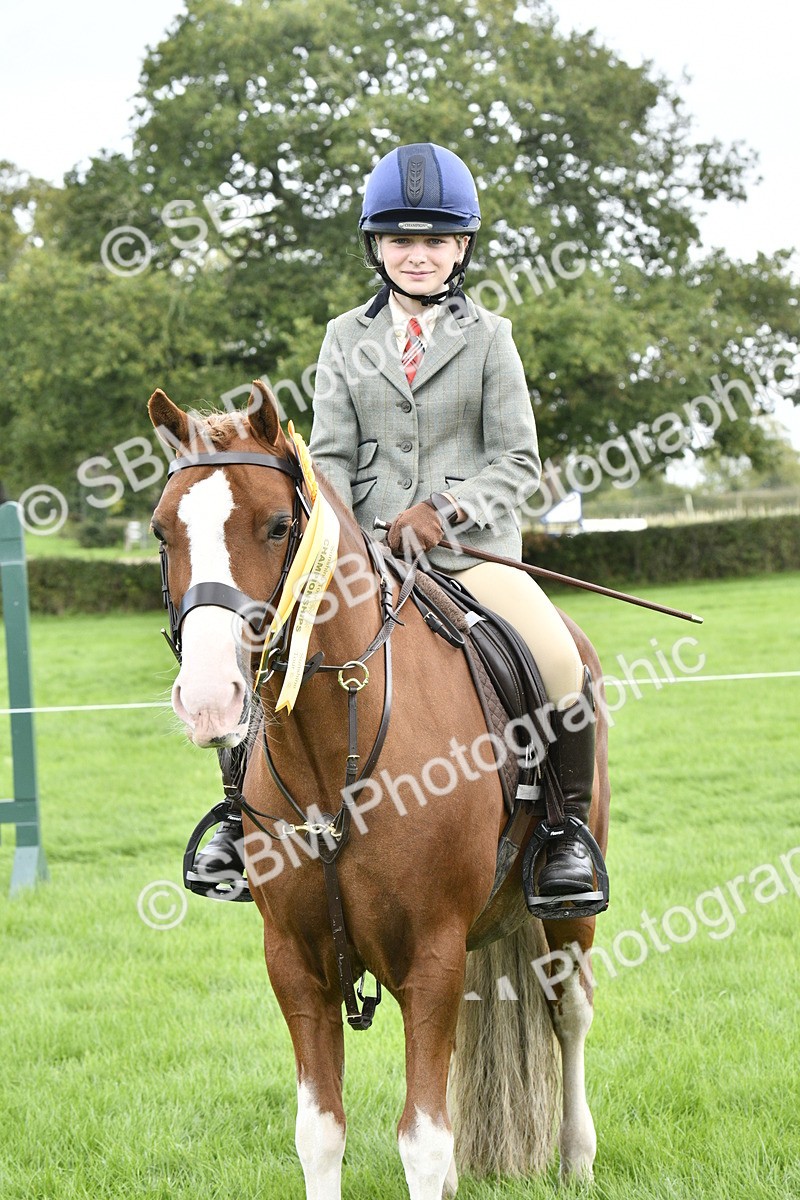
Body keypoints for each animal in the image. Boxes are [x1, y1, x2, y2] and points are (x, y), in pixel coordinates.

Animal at [149, 380, 610, 1200]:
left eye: (277, 527)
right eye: (162, 532)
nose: (207, 699)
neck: (333, 755)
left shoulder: (430, 954)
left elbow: (420, 1140)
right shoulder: (294, 962)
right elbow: (320, 1133)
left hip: (564, 917)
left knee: (569, 1016)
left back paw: (576, 1156)